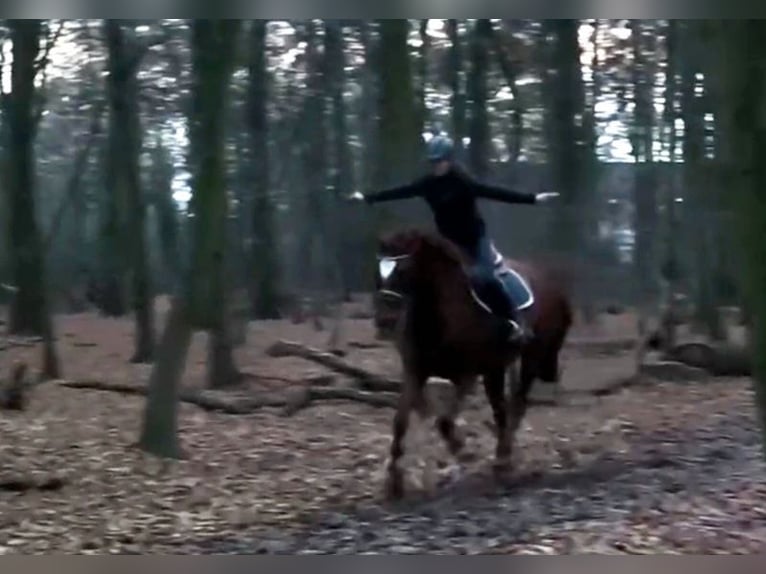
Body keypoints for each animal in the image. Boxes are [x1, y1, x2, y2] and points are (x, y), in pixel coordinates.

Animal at [374, 227, 573, 498]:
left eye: (404, 270)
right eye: (378, 272)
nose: (384, 321)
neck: (440, 316)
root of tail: (552, 284)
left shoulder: (467, 374)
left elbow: (444, 421)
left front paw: (462, 448)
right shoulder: (415, 373)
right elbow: (401, 421)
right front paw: (394, 481)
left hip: (530, 358)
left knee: (517, 405)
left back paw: (503, 460)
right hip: (495, 369)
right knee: (502, 410)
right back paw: (502, 461)